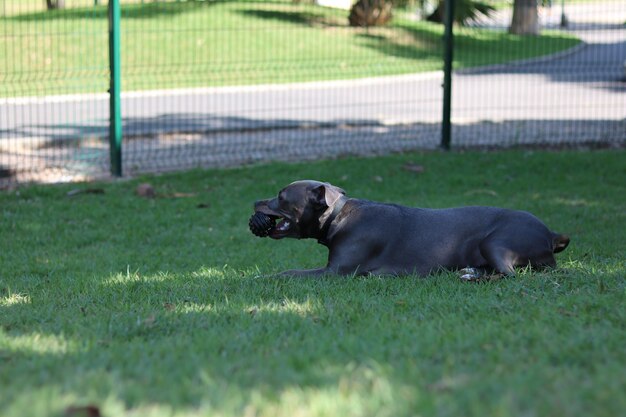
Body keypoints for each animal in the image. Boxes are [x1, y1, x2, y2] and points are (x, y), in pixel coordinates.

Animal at [249, 180, 564, 280]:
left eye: (281, 196)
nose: (254, 202)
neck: (337, 217)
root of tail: (550, 234)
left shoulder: (335, 272)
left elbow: (289, 272)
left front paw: (261, 277)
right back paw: (470, 272)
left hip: (497, 242)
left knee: (509, 274)